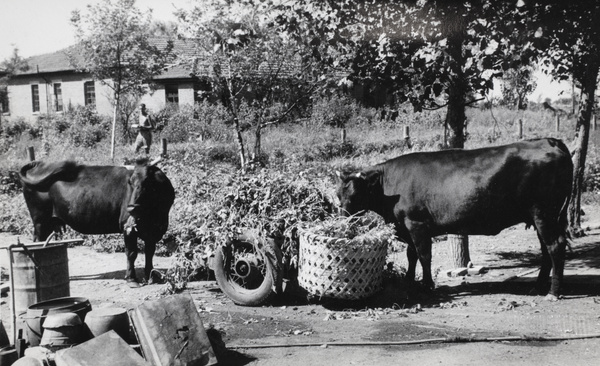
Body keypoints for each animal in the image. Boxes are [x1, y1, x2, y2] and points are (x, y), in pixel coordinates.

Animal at [19, 157, 175, 284]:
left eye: (148, 183)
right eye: (130, 182)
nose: (131, 207)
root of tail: (40, 164)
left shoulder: (155, 231)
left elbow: (150, 253)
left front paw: (151, 276)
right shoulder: (128, 227)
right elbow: (131, 253)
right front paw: (131, 279)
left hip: (49, 222)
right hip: (39, 220)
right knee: (37, 242)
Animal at [336, 137, 576, 300]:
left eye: (356, 196)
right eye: (338, 195)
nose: (343, 222)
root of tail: (548, 141)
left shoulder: (417, 224)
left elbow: (423, 255)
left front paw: (427, 285)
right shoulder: (405, 226)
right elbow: (411, 255)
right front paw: (409, 281)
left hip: (544, 214)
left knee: (555, 246)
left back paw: (553, 291)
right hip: (541, 217)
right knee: (546, 250)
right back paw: (539, 286)